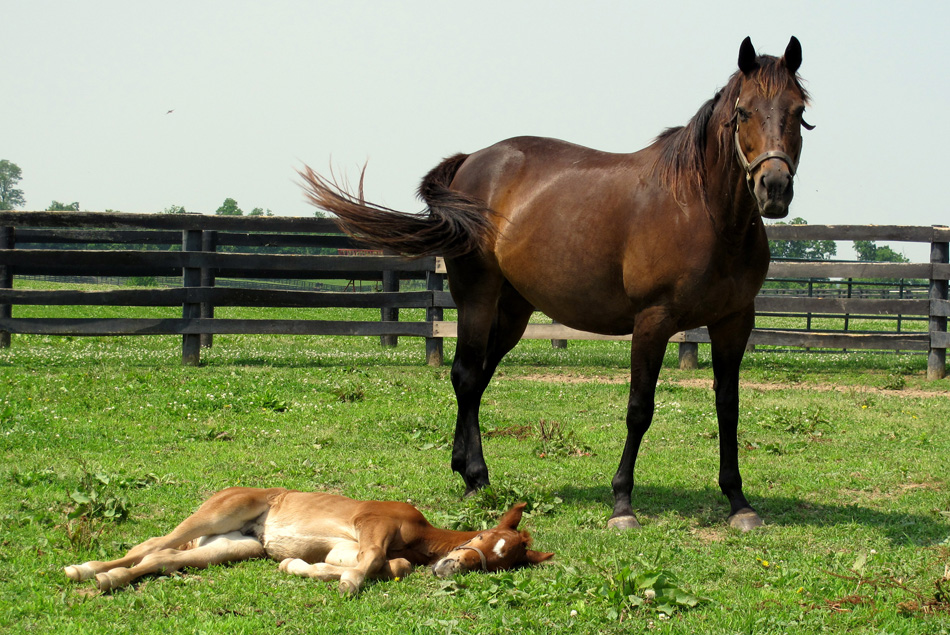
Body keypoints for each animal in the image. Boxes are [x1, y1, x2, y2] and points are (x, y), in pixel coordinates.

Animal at [302, 36, 816, 532]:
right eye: (743, 111)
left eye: (798, 111)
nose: (774, 188)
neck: (701, 209)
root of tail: (471, 161)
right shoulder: (653, 321)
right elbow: (639, 409)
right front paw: (622, 504)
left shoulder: (734, 322)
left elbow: (728, 407)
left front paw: (738, 502)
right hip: (476, 297)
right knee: (465, 376)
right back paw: (477, 479)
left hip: (513, 311)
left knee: (479, 378)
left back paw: (464, 469)